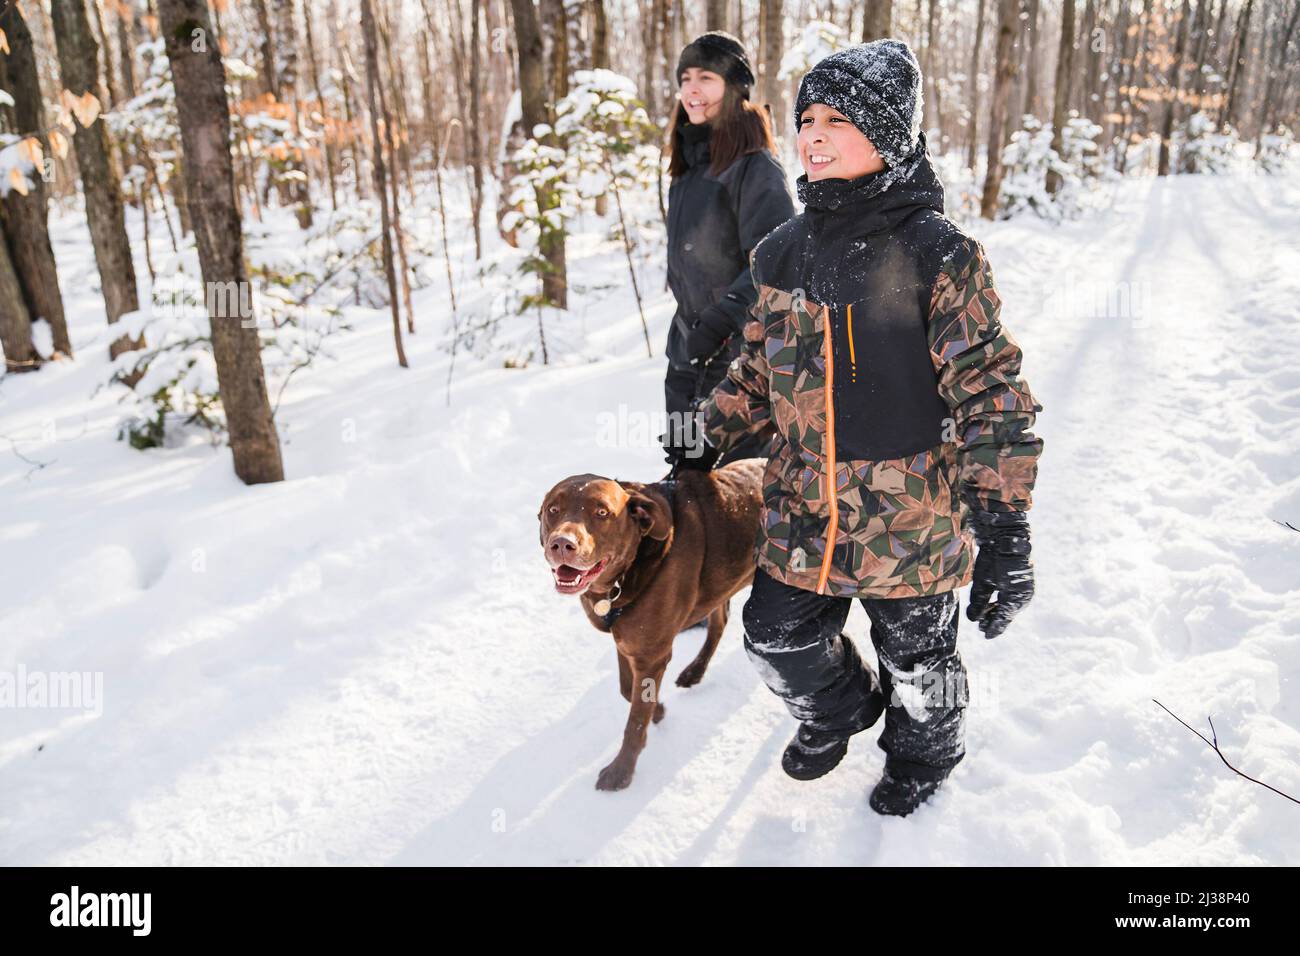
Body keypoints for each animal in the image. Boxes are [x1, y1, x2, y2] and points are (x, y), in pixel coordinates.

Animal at [535, 460, 764, 790]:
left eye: (602, 512)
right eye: (554, 509)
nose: (562, 544)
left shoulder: (650, 654)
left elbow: (634, 720)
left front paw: (621, 772)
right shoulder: (628, 642)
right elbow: (627, 689)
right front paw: (658, 710)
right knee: (720, 619)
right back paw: (695, 671)